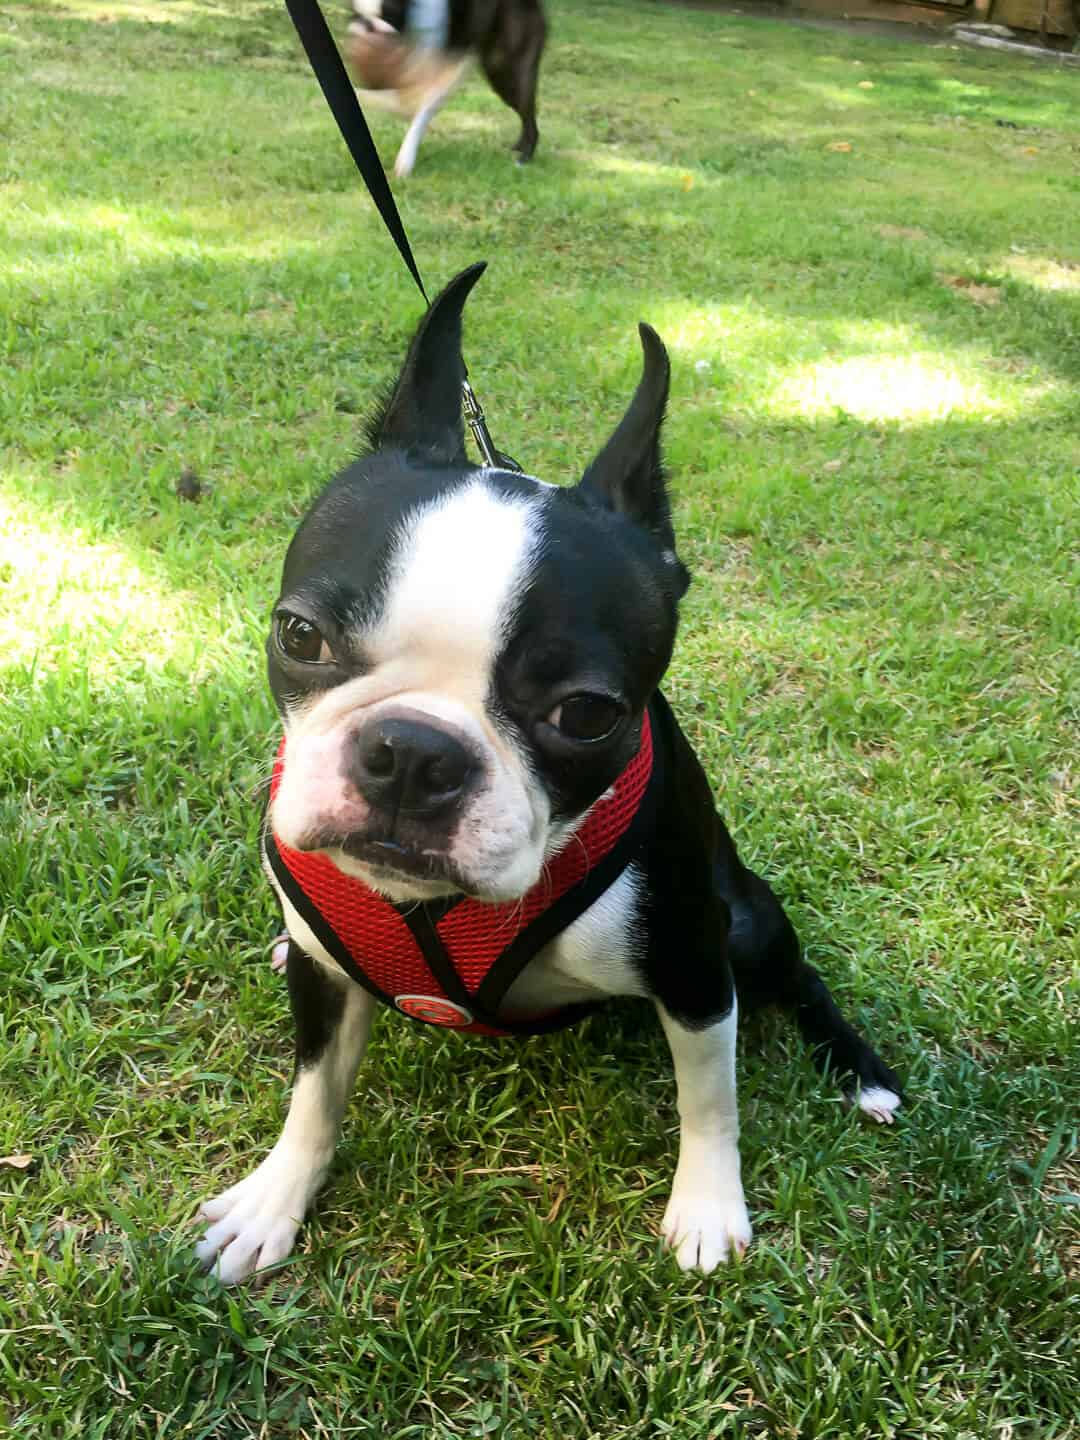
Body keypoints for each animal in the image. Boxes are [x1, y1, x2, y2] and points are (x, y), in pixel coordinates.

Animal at [348, 0, 550, 177]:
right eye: (355, 14)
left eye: (389, 12)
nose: (367, 25)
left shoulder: (435, 79)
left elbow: (417, 112)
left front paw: (405, 160)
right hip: (499, 79)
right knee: (524, 115)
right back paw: (518, 147)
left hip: (512, 74)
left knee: (529, 117)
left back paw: (524, 157)